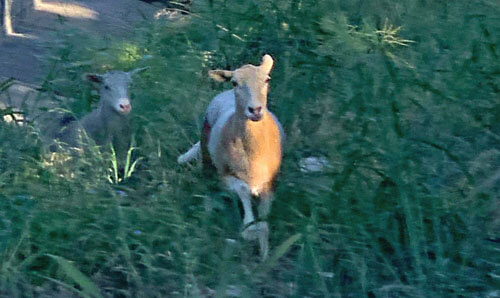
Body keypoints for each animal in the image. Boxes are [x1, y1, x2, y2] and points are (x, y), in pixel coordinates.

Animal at [178, 54, 284, 260]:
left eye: (267, 80)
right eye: (235, 83)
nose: (255, 110)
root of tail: (224, 95)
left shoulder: (270, 181)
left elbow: (265, 215)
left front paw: (264, 247)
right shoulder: (225, 175)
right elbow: (243, 190)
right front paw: (249, 229)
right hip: (206, 150)